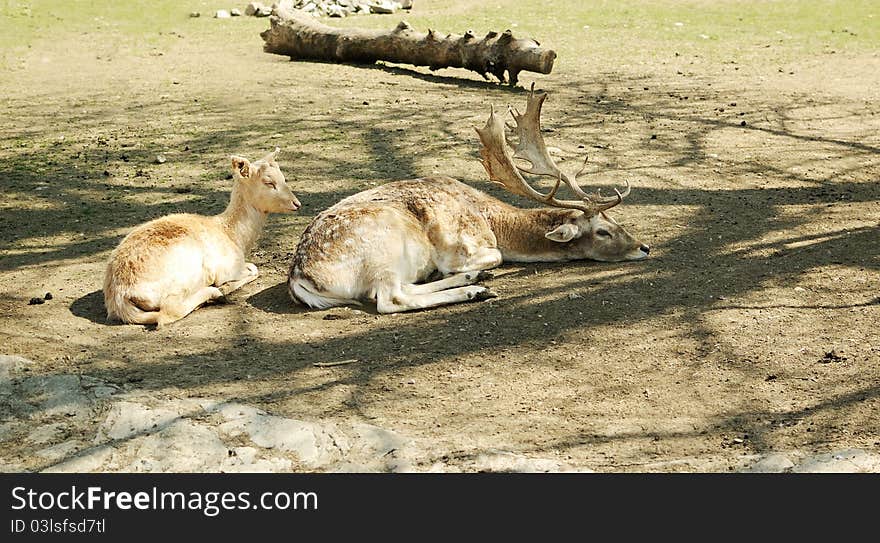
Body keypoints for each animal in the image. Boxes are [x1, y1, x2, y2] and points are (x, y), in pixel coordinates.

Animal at [104, 148, 300, 328]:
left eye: (283, 177)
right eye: (268, 182)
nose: (296, 203)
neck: (235, 237)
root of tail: (120, 297)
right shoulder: (227, 268)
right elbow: (253, 268)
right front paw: (224, 287)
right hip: (182, 278)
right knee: (168, 312)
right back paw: (215, 294)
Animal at [288, 86, 648, 314]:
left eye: (617, 221)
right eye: (602, 231)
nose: (643, 247)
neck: (492, 220)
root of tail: (301, 279)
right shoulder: (462, 244)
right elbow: (495, 257)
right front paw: (464, 271)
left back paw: (474, 282)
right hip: (384, 249)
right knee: (390, 299)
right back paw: (473, 289)